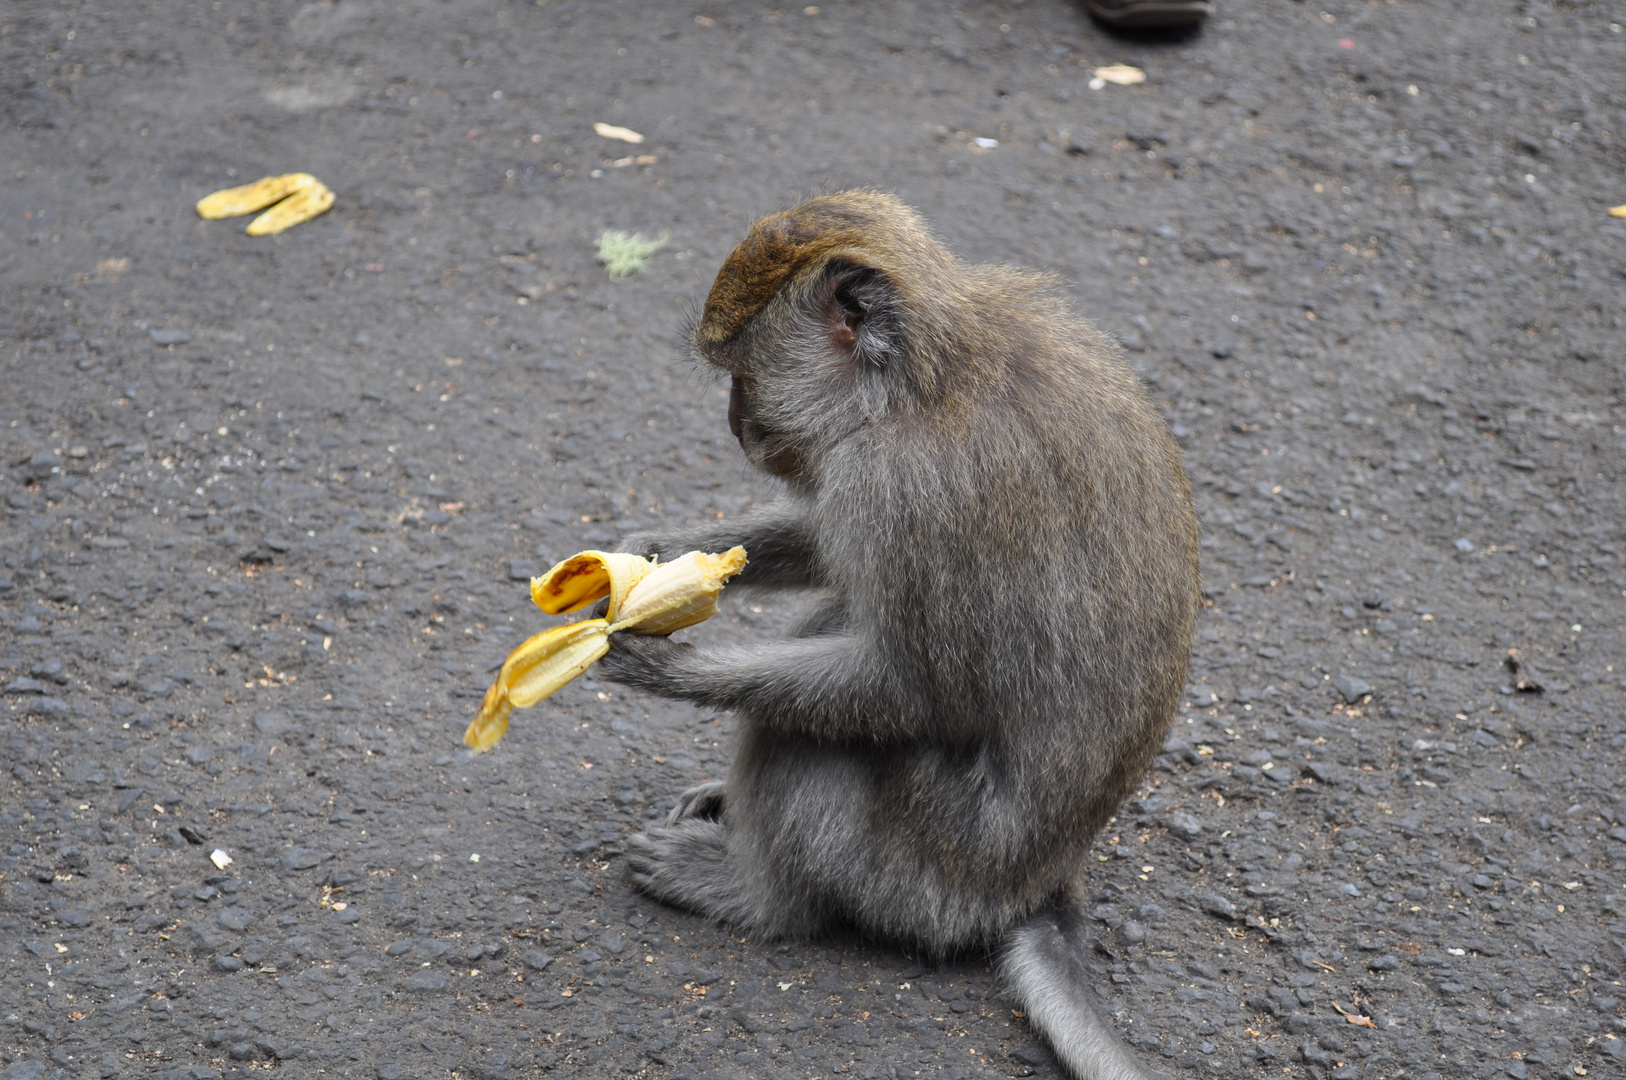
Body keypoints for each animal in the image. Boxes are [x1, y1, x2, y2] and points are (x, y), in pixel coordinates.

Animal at [598, 187, 1196, 1080]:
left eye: (742, 375)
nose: (736, 426)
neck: (923, 380)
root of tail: (1038, 887)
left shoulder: (903, 485)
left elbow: (915, 691)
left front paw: (666, 669)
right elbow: (827, 544)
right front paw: (652, 555)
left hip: (916, 863)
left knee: (807, 731)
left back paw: (756, 895)